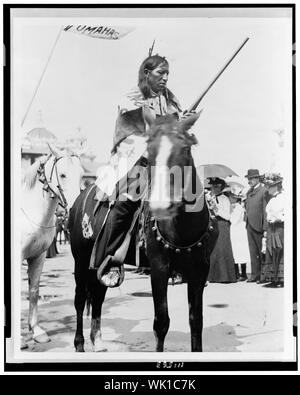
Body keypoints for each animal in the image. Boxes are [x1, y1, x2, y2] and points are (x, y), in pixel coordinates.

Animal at [21, 145, 83, 346]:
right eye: (62, 175)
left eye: (82, 174)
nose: (75, 211)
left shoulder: (38, 256)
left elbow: (34, 291)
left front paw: (36, 330)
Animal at [69, 111, 217, 352]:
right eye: (149, 150)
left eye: (186, 148)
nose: (162, 206)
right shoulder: (158, 269)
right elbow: (161, 322)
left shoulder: (200, 271)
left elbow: (196, 321)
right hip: (80, 261)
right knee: (81, 299)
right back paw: (80, 343)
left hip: (98, 264)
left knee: (98, 296)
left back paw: (97, 341)